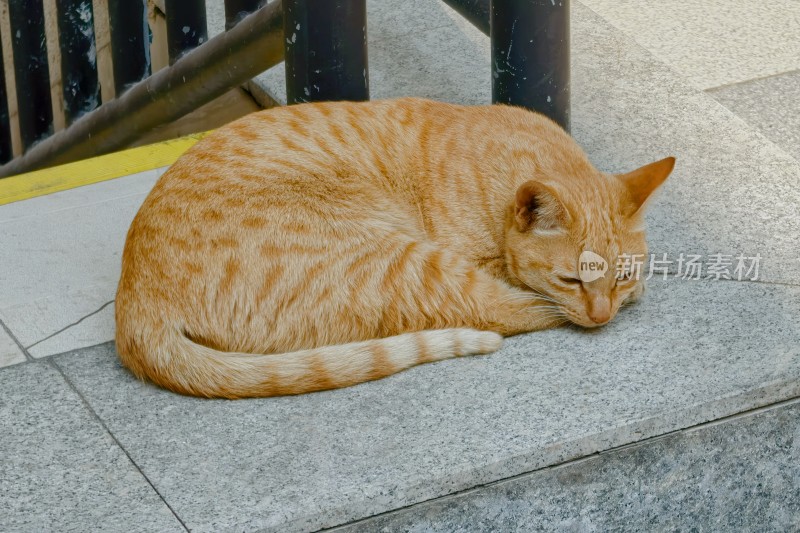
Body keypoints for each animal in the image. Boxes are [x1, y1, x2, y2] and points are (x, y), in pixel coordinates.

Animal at [114, 95, 676, 396]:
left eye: (621, 275)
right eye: (571, 279)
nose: (603, 316)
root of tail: (133, 308)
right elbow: (517, 290)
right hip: (399, 258)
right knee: (494, 311)